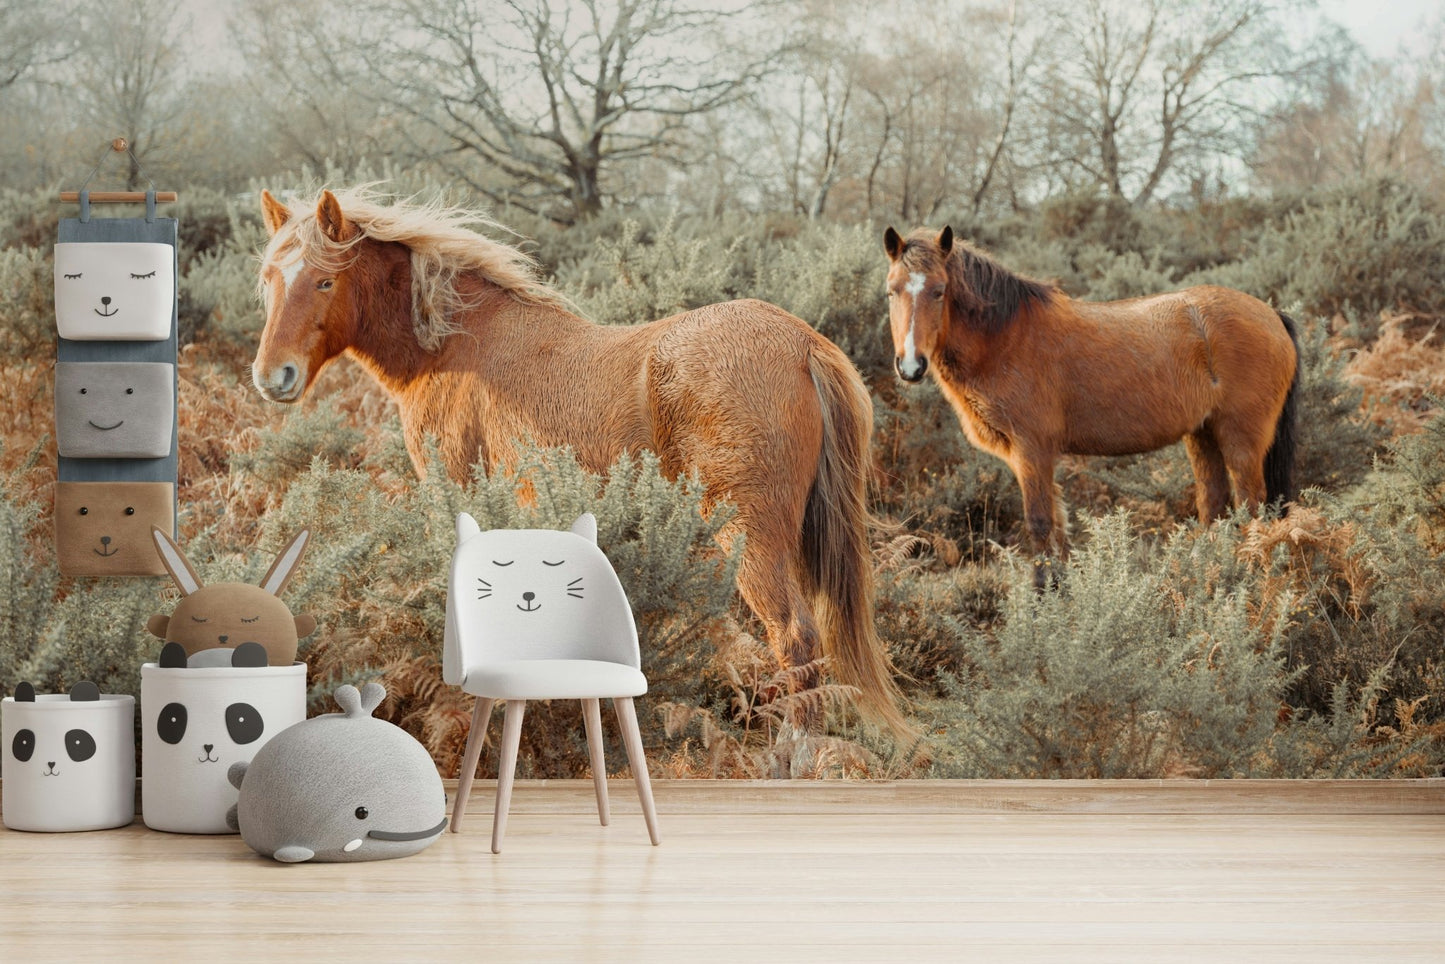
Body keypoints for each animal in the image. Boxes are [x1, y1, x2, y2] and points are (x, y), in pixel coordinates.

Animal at [250, 187, 909, 736]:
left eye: (324, 281)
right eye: (269, 280)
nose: (272, 376)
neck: (454, 345)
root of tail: (804, 344)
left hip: (752, 538)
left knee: (794, 637)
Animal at [881, 225, 1299, 573]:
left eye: (939, 290)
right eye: (891, 290)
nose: (911, 366)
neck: (1005, 338)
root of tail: (1271, 314)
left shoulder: (1032, 451)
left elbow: (1039, 524)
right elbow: (1058, 530)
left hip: (1241, 442)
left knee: (1252, 510)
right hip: (1202, 436)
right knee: (1215, 507)